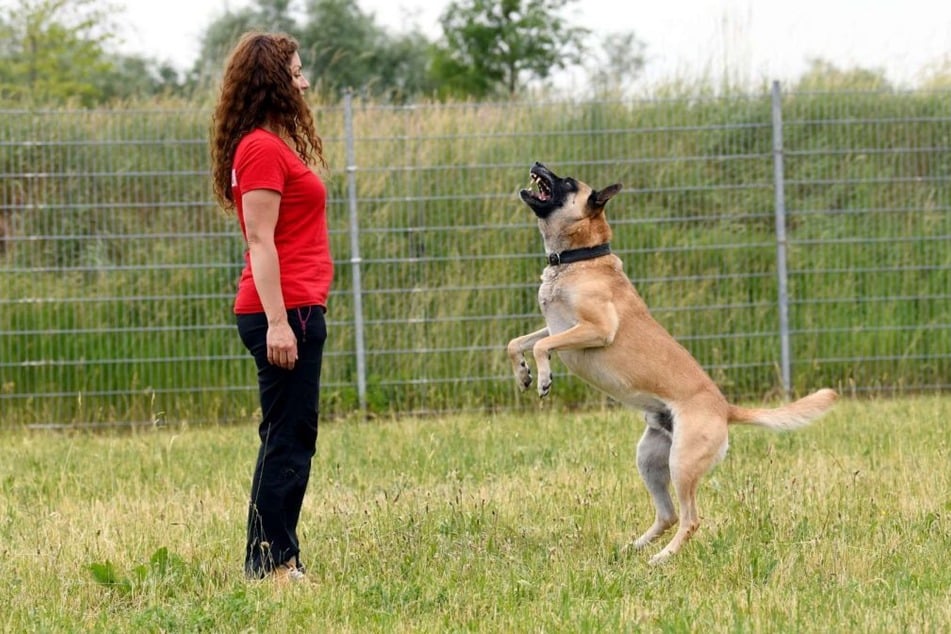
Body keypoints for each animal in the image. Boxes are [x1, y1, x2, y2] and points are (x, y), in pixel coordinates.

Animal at [510, 162, 836, 564]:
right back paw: (632, 549)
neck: (580, 259)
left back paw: (661, 558)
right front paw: (523, 374)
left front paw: (543, 379)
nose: (537, 165)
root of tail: (725, 408)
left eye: (568, 182)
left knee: (690, 518)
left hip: (682, 462)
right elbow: (519, 342)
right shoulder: (557, 327)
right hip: (650, 459)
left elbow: (543, 347)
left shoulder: (597, 329)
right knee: (667, 514)